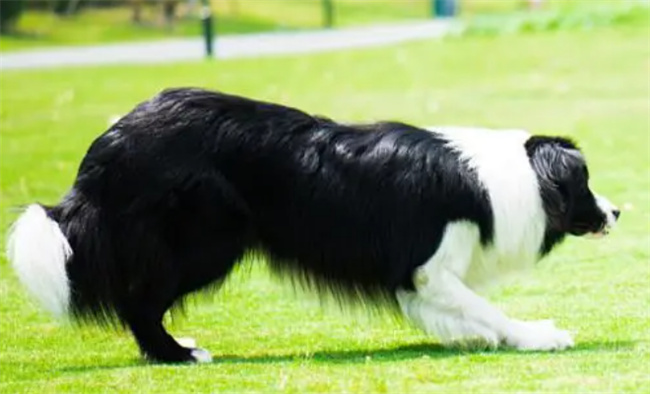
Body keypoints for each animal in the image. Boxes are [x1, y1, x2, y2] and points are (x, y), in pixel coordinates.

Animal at [6, 88, 616, 364]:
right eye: (585, 182)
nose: (617, 211)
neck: (512, 176)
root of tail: (111, 141)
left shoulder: (424, 280)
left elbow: (465, 311)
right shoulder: (426, 267)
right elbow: (486, 307)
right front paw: (536, 335)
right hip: (206, 240)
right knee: (138, 302)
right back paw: (176, 354)